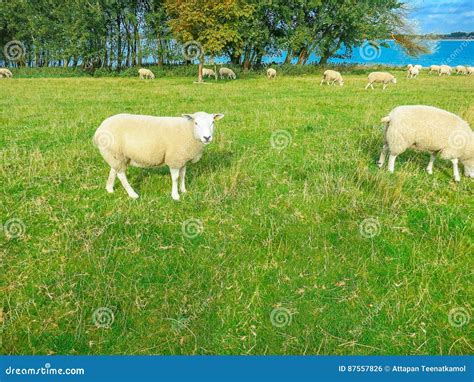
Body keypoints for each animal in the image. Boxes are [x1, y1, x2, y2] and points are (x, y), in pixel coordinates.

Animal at [95, 111, 225, 200]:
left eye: (213, 122)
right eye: (196, 123)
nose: (207, 137)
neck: (189, 131)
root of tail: (99, 128)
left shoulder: (182, 158)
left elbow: (183, 175)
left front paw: (184, 190)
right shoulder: (174, 158)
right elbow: (175, 178)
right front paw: (175, 195)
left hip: (116, 155)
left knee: (114, 170)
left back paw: (109, 189)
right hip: (116, 153)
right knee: (121, 175)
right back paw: (133, 194)